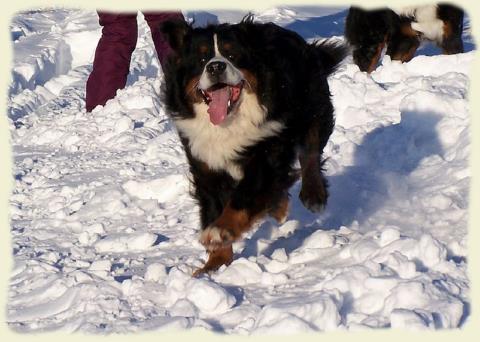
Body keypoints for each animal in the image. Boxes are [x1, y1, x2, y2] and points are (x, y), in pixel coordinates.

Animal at [160, 17, 344, 276]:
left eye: (232, 55)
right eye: (202, 59)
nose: (216, 67)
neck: (228, 124)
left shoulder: (266, 151)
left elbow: (243, 197)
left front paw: (219, 232)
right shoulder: (205, 164)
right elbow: (214, 205)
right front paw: (214, 264)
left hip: (312, 106)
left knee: (310, 151)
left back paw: (313, 195)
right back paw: (279, 206)